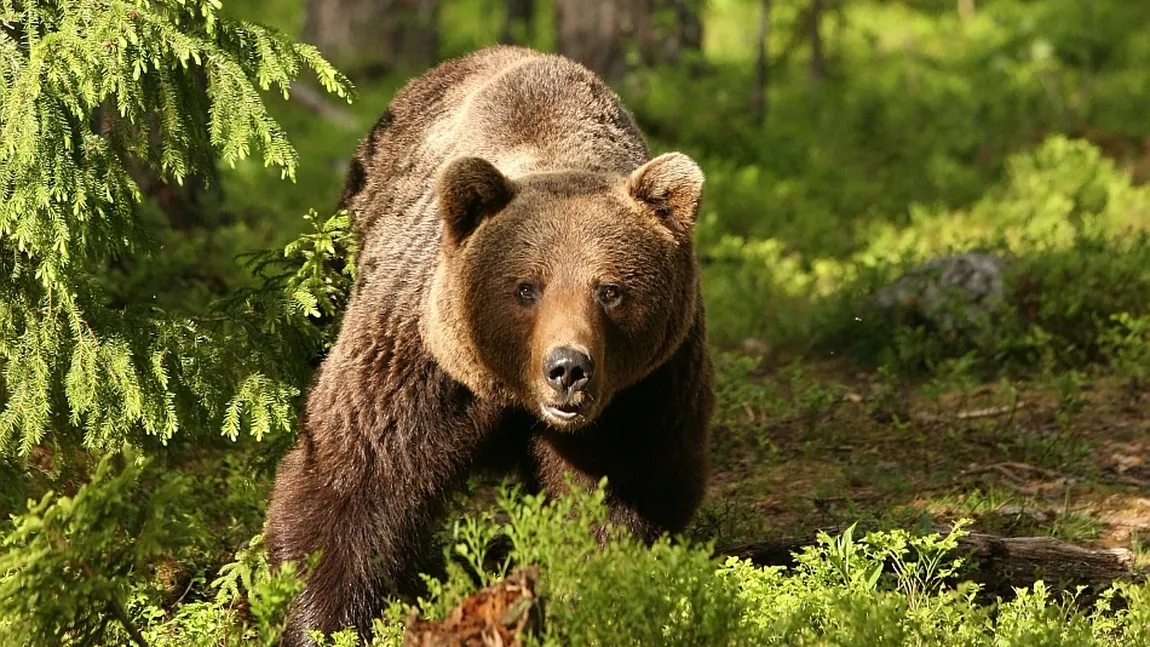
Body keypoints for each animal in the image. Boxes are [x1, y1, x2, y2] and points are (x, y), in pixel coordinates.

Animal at [265, 44, 713, 643]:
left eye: (611, 290)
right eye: (526, 288)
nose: (568, 368)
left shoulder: (644, 386)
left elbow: (622, 492)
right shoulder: (419, 357)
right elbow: (355, 476)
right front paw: (319, 620)